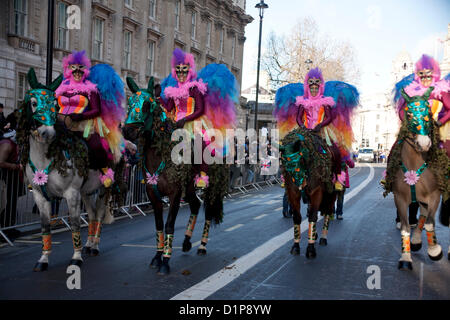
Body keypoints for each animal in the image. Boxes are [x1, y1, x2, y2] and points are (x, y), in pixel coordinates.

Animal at [17, 69, 116, 272]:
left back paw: (94, 246)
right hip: (87, 191)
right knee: (92, 215)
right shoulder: (40, 195)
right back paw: (89, 245)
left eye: (54, 103)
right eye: (33, 103)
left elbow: (76, 224)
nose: (47, 132)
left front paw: (76, 258)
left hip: (104, 188)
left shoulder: (71, 193)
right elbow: (45, 226)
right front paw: (43, 259)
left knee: (100, 214)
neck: (47, 157)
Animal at [123, 77, 229, 276]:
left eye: (147, 105)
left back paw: (202, 246)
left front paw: (165, 261)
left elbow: (169, 224)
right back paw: (187, 242)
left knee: (208, 211)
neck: (161, 152)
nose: (127, 131)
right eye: (129, 102)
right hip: (188, 187)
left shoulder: (174, 194)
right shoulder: (153, 194)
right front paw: (157, 257)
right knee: (195, 205)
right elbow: (158, 225)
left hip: (209, 185)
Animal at [280, 126, 340, 258]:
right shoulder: (293, 193)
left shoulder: (316, 192)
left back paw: (323, 237)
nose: (300, 183)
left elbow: (313, 216)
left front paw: (311, 248)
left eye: (299, 160)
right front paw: (296, 246)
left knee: (327, 211)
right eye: (286, 163)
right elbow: (297, 217)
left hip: (331, 194)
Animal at [390, 88, 446, 270]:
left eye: (428, 112)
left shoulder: (435, 195)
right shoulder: (399, 198)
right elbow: (406, 227)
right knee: (422, 213)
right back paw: (415, 241)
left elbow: (430, 222)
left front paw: (434, 250)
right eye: (408, 114)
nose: (424, 143)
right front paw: (405, 257)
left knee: (425, 216)